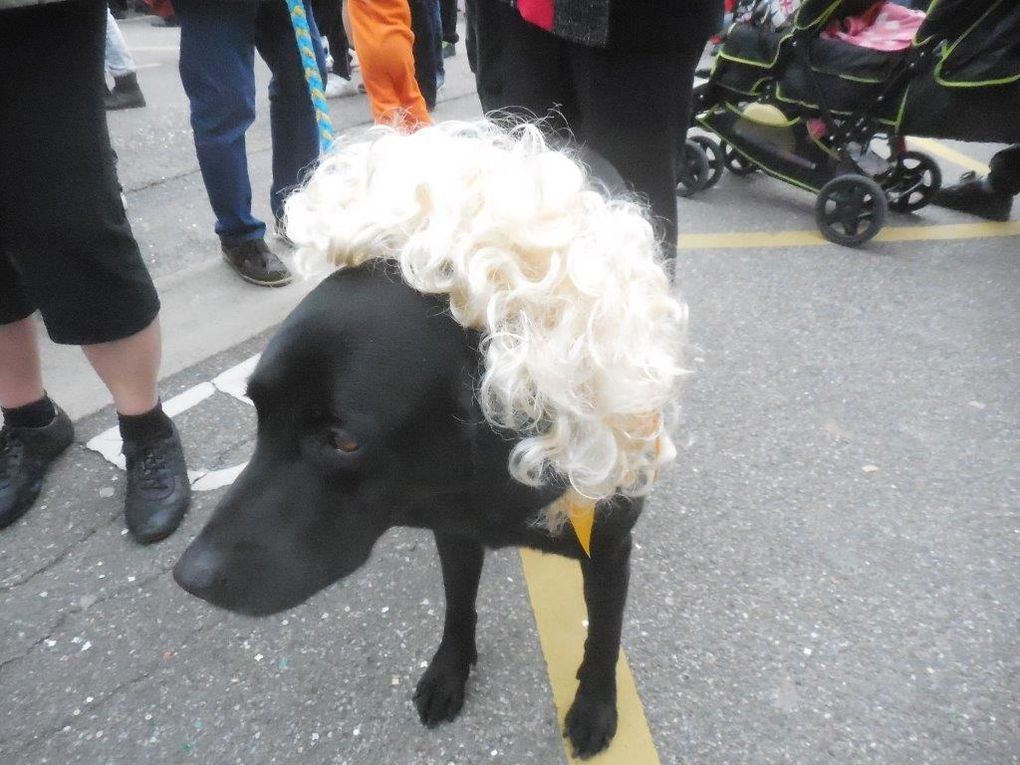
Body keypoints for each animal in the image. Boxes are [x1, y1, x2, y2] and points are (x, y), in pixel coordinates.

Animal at [171, 265, 640, 762]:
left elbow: (604, 634)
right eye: (259, 412)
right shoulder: (454, 531)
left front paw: (594, 705)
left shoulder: (609, 550)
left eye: (344, 442)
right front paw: (450, 672)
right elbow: (458, 605)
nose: (189, 577)